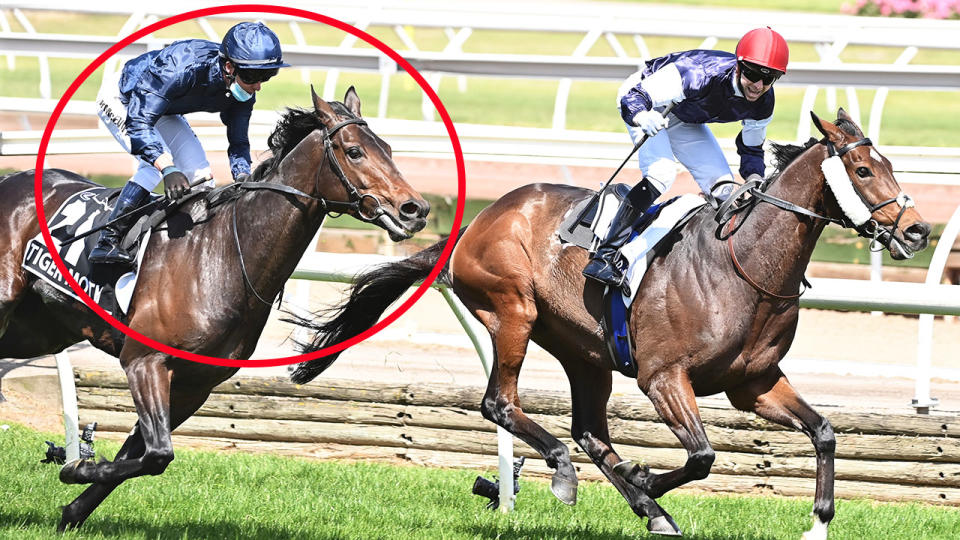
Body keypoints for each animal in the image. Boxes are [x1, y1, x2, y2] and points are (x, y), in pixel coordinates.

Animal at [0, 86, 428, 528]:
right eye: (354, 151)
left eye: (388, 148)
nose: (415, 209)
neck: (223, 256)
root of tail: (11, 179)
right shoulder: (144, 360)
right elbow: (157, 453)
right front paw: (75, 464)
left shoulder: (194, 384)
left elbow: (147, 455)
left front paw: (73, 504)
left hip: (35, 330)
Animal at [286, 110, 928, 540]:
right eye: (864, 169)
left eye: (891, 165)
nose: (918, 231)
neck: (742, 265)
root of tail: (475, 223)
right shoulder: (664, 378)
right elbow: (702, 456)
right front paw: (649, 480)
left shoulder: (755, 383)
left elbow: (824, 432)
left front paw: (818, 522)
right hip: (513, 310)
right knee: (501, 403)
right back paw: (574, 478)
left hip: (585, 351)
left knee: (591, 431)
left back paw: (644, 508)